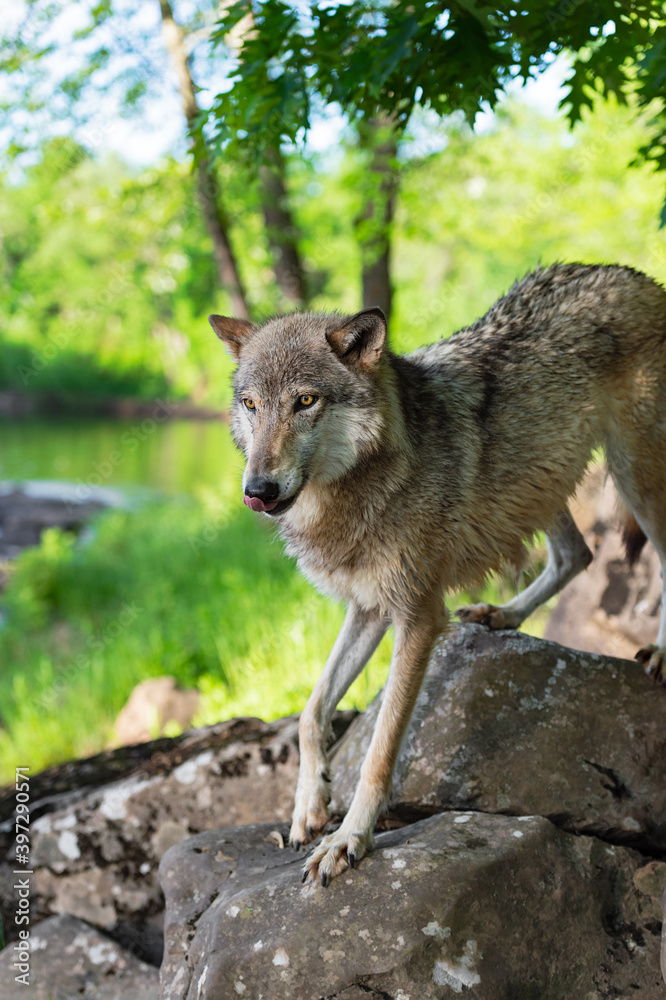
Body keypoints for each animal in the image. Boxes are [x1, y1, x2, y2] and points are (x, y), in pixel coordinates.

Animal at [210, 262, 666, 887]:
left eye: (304, 400)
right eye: (252, 404)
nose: (257, 489)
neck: (362, 484)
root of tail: (635, 275)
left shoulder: (418, 617)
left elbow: (378, 752)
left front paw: (350, 839)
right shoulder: (368, 607)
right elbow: (310, 710)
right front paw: (308, 807)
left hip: (631, 474)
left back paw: (660, 649)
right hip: (540, 482)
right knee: (577, 555)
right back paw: (503, 615)